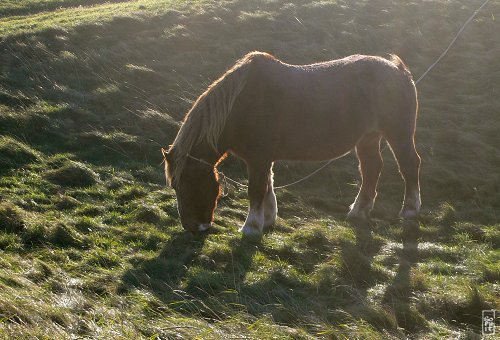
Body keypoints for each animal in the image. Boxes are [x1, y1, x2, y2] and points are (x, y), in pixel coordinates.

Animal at [162, 51, 420, 235]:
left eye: (185, 183)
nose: (194, 227)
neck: (241, 105)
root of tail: (400, 71)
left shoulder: (258, 158)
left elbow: (257, 189)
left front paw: (250, 227)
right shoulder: (263, 158)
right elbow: (268, 185)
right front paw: (267, 220)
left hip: (398, 134)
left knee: (409, 166)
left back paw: (410, 210)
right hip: (368, 138)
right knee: (371, 170)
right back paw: (358, 212)